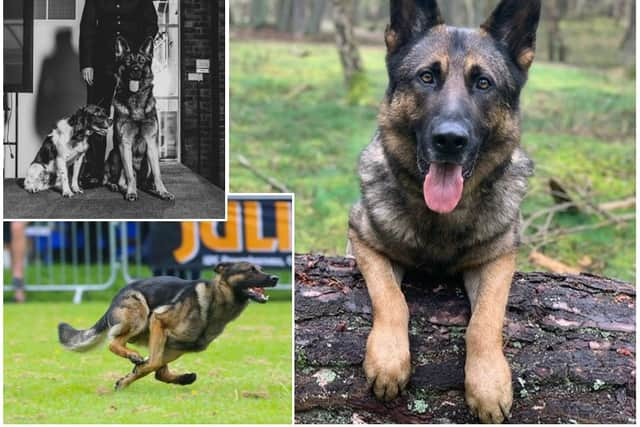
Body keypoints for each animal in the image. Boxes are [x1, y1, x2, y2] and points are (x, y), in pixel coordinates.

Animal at [55, 260, 276, 392]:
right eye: (250, 270)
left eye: (261, 269)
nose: (275, 278)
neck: (216, 300)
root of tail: (120, 293)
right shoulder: (158, 321)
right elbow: (151, 364)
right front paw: (133, 370)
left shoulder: (176, 346)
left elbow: (153, 368)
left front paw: (125, 380)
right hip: (140, 316)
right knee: (114, 343)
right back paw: (132, 355)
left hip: (167, 343)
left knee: (159, 371)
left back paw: (183, 378)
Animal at [107, 34, 174, 201]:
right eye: (128, 61)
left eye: (142, 61)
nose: (136, 70)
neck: (135, 98)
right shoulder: (124, 143)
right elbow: (129, 174)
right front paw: (131, 192)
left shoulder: (151, 142)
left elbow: (157, 174)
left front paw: (163, 191)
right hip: (115, 154)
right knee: (118, 178)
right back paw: (118, 186)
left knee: (143, 179)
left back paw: (149, 186)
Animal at [350, 0, 540, 422]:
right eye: (426, 77)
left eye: (483, 83)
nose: (450, 141)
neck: (441, 220)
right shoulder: (364, 240)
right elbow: (392, 298)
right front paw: (388, 360)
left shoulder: (499, 257)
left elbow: (484, 321)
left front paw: (488, 383)